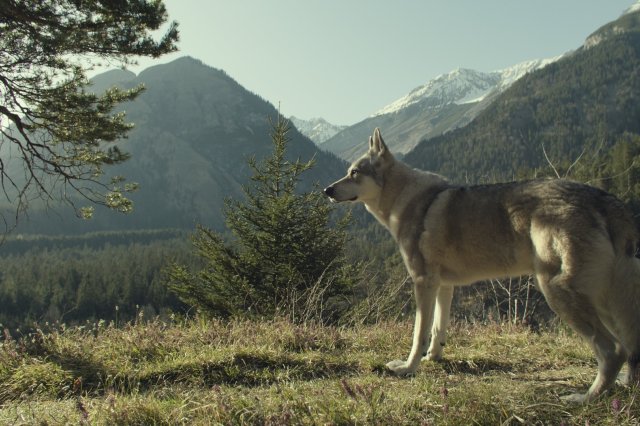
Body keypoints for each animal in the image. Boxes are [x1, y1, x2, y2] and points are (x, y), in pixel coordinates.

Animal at [324, 128, 640, 403]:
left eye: (353, 172)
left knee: (612, 351)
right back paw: (625, 386)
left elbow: (418, 333)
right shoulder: (444, 286)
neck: (407, 200)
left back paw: (585, 398)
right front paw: (433, 358)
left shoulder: (423, 282)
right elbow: (438, 329)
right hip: (604, 302)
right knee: (629, 347)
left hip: (558, 292)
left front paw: (408, 368)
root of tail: (606, 199)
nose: (327, 189)